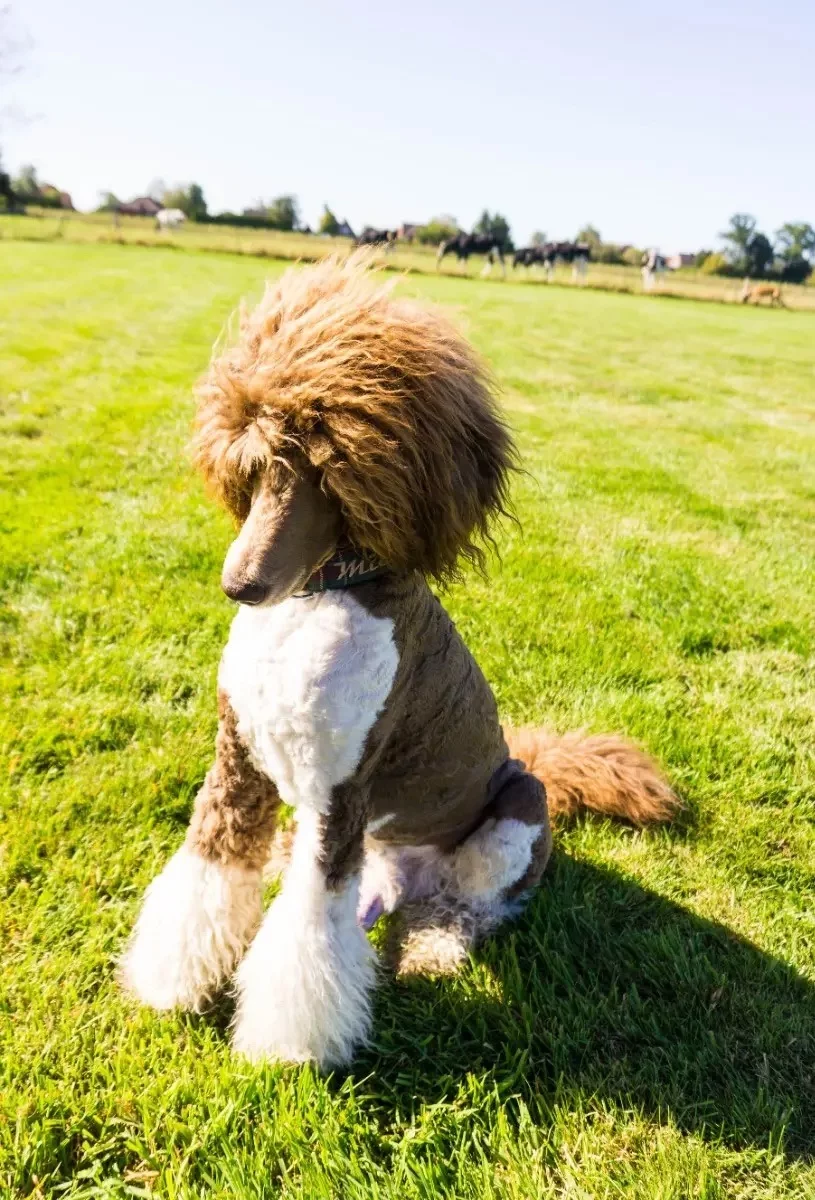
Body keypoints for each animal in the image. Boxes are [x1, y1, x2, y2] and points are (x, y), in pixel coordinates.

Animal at [121, 254, 676, 1068]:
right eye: (254, 463)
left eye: (330, 472)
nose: (240, 584)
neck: (319, 599)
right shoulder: (236, 767)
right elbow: (205, 877)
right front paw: (170, 986)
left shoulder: (340, 793)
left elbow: (308, 932)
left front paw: (288, 1050)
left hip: (515, 811)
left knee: (468, 910)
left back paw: (432, 952)